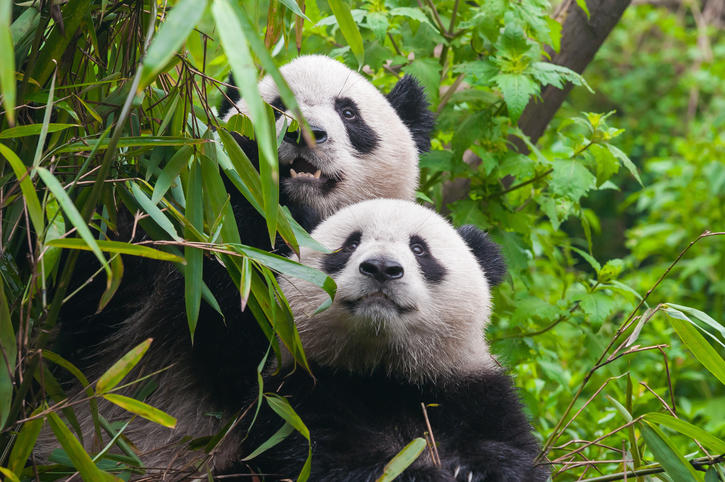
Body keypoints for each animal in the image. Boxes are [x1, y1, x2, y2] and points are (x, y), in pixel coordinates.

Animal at [237, 199, 548, 481]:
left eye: (419, 249)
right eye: (350, 245)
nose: (381, 267)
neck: (387, 372)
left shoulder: (476, 393)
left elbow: (516, 454)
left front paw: (474, 471)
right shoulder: (298, 395)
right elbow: (322, 459)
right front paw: (422, 474)